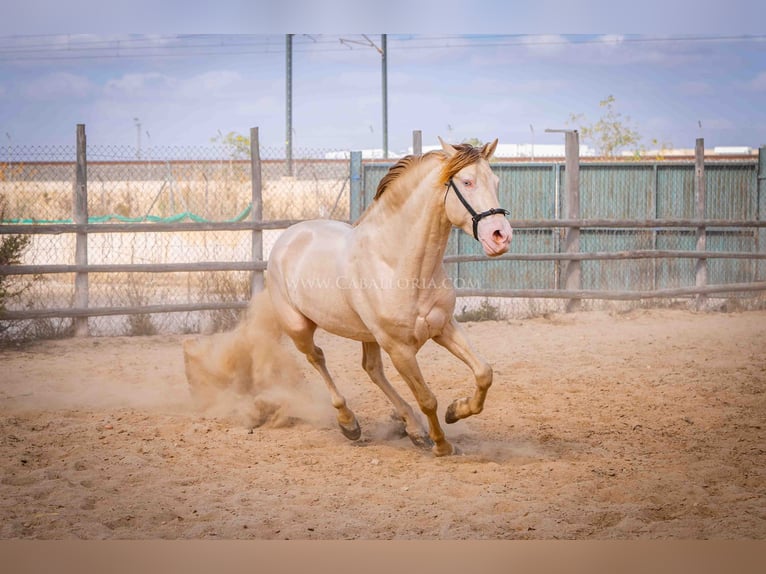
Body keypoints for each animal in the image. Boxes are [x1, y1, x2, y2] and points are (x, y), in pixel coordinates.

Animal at [268, 137, 512, 456]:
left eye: (495, 181)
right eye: (467, 182)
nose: (501, 236)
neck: (397, 261)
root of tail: (288, 237)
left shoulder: (443, 327)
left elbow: (484, 373)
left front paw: (455, 411)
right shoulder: (399, 348)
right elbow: (427, 398)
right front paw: (442, 445)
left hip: (368, 335)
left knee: (372, 369)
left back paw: (412, 428)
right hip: (299, 327)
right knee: (317, 358)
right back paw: (349, 423)